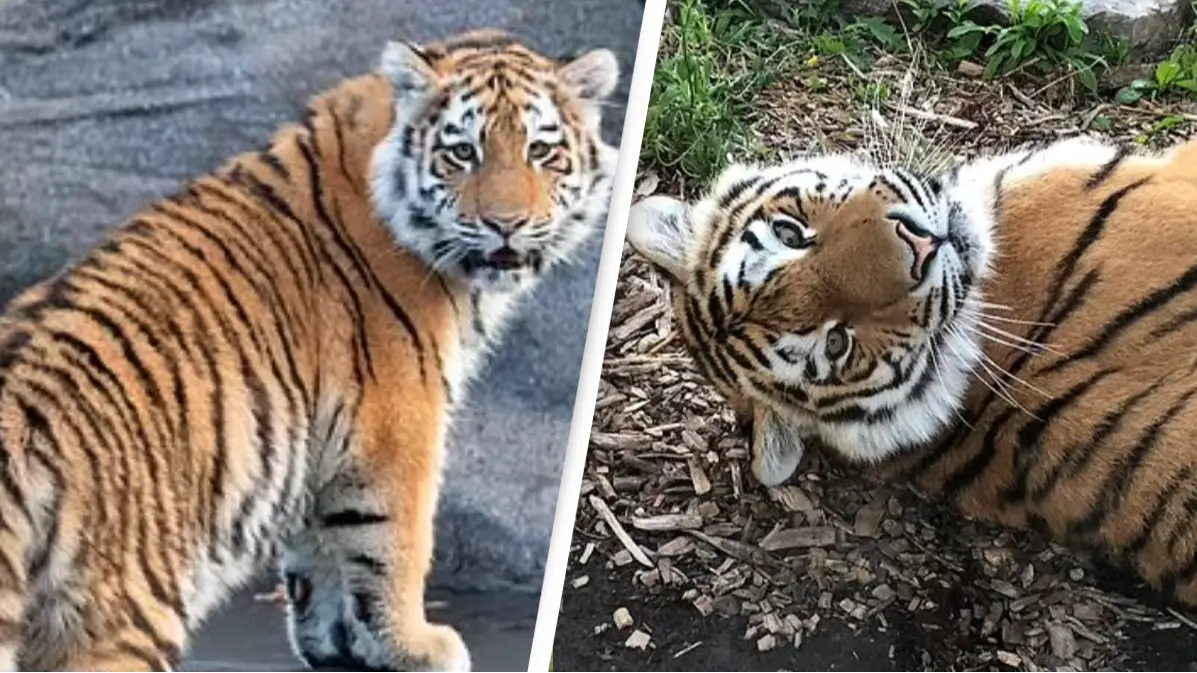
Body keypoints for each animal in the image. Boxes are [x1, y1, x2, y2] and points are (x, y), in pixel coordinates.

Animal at [0, 28, 620, 672]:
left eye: (541, 152)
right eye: (462, 153)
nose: (506, 223)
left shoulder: (319, 450)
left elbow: (323, 556)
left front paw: (337, 642)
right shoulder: (397, 428)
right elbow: (396, 542)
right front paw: (416, 644)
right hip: (122, 611)